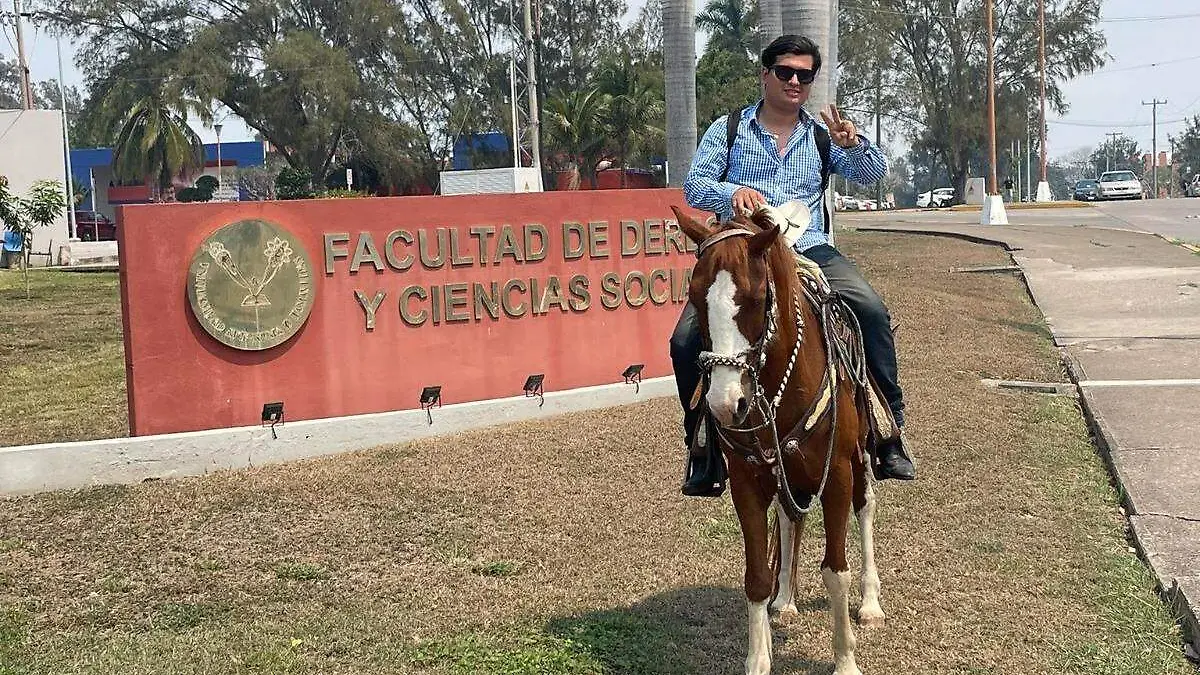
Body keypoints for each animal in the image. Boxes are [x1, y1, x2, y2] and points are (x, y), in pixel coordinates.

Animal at [672, 205, 888, 672]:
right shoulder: (747, 482)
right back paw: (785, 600)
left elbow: (836, 571)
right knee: (790, 518)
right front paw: (759, 659)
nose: (725, 403)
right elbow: (756, 576)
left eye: (755, 298)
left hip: (859, 459)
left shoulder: (836, 475)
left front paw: (845, 660)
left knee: (865, 509)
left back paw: (870, 604)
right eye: (695, 299)